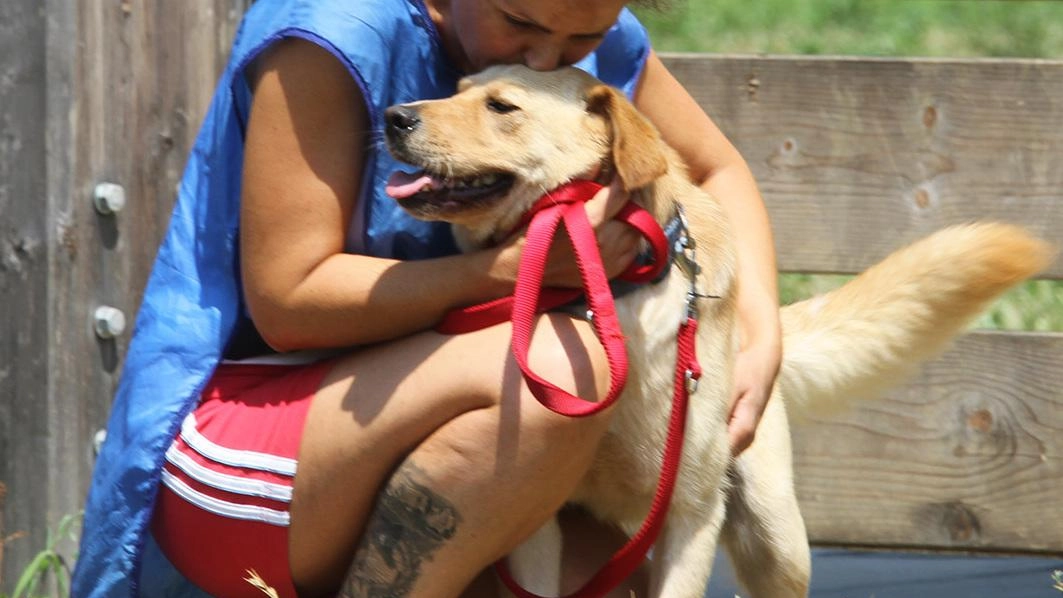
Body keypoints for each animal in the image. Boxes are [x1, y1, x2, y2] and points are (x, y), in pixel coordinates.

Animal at [380, 63, 1045, 594]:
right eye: (456, 89)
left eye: (501, 106)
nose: (394, 117)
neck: (601, 304)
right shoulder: (536, 528)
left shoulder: (690, 511)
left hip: (772, 536)